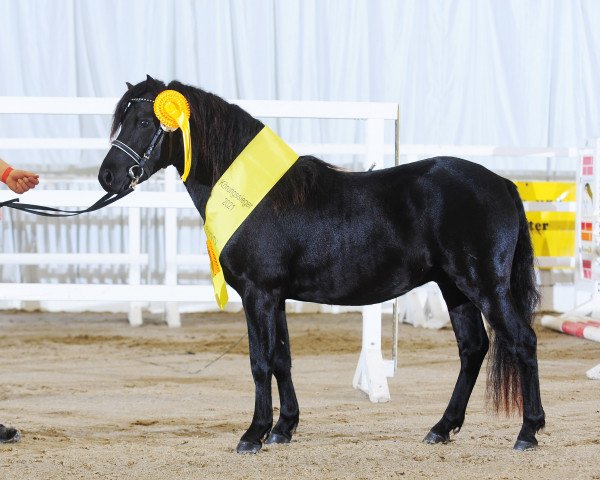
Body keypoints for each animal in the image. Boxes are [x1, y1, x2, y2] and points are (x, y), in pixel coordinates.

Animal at [97, 76, 544, 454]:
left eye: (143, 120)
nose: (108, 176)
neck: (253, 194)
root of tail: (502, 183)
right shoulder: (275, 297)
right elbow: (281, 358)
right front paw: (284, 428)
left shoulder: (258, 294)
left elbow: (259, 361)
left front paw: (253, 434)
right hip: (455, 289)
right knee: (473, 348)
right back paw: (441, 428)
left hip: (484, 286)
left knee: (522, 340)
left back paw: (528, 432)